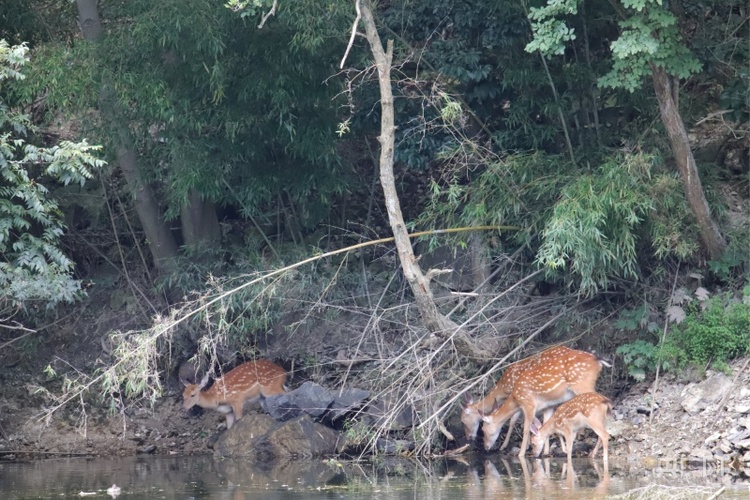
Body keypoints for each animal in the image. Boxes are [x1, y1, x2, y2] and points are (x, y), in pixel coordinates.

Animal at [479, 347, 611, 457]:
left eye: (484, 429)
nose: (486, 447)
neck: (515, 398)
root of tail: (597, 360)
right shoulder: (548, 405)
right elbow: (545, 423)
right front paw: (546, 452)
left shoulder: (529, 404)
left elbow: (525, 428)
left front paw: (521, 454)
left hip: (583, 384)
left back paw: (593, 453)